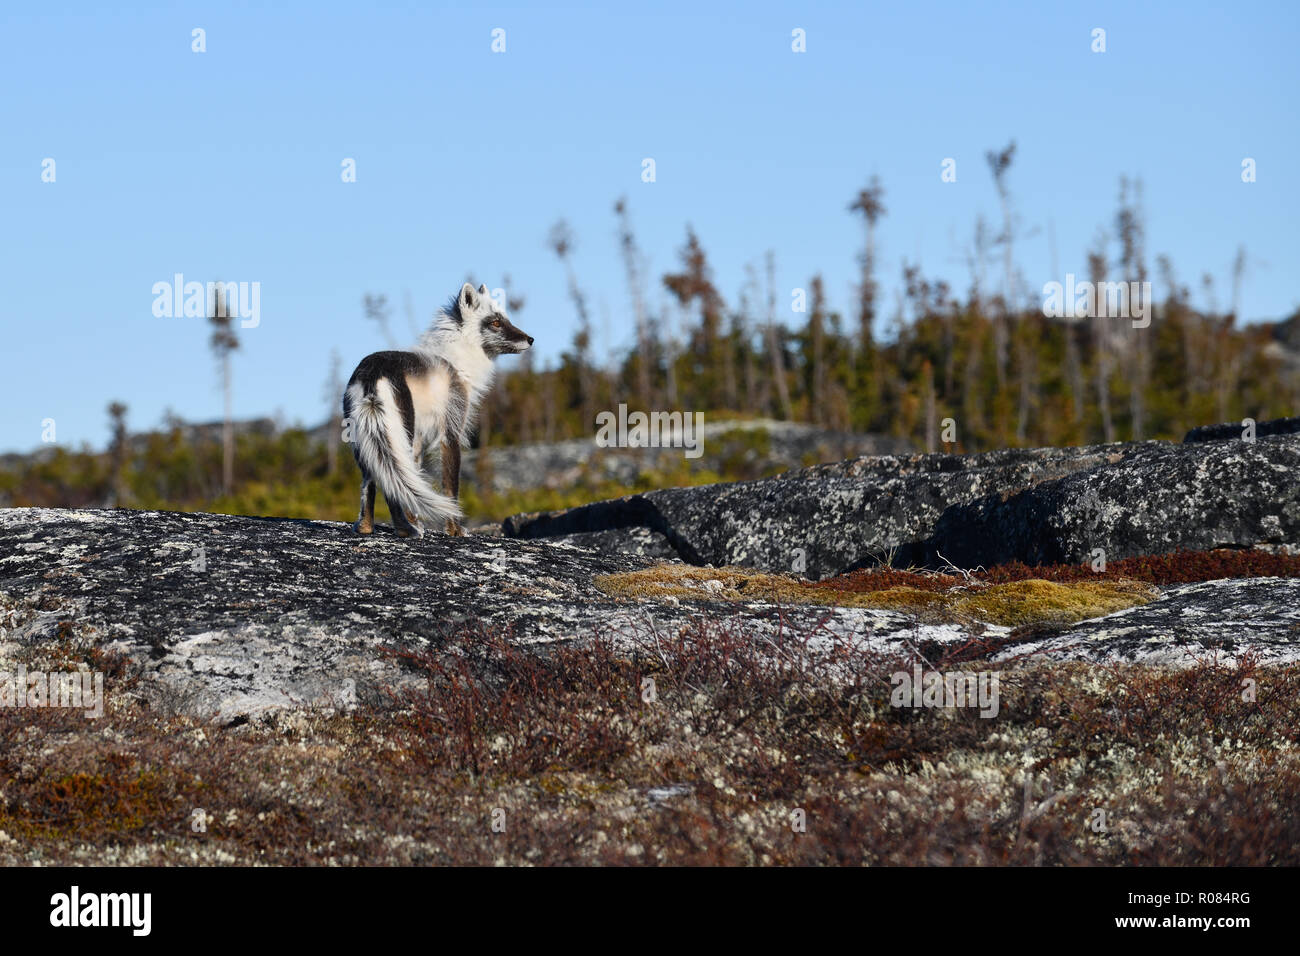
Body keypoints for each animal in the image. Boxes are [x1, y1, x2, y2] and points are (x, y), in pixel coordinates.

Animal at [343, 282, 535, 538]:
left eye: (506, 319)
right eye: (495, 322)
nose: (530, 339)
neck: (457, 359)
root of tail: (372, 372)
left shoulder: (418, 443)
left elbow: (412, 481)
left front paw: (417, 520)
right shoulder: (451, 431)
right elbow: (451, 488)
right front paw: (455, 529)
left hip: (368, 441)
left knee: (370, 482)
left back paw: (366, 527)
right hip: (399, 432)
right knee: (389, 484)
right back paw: (405, 530)